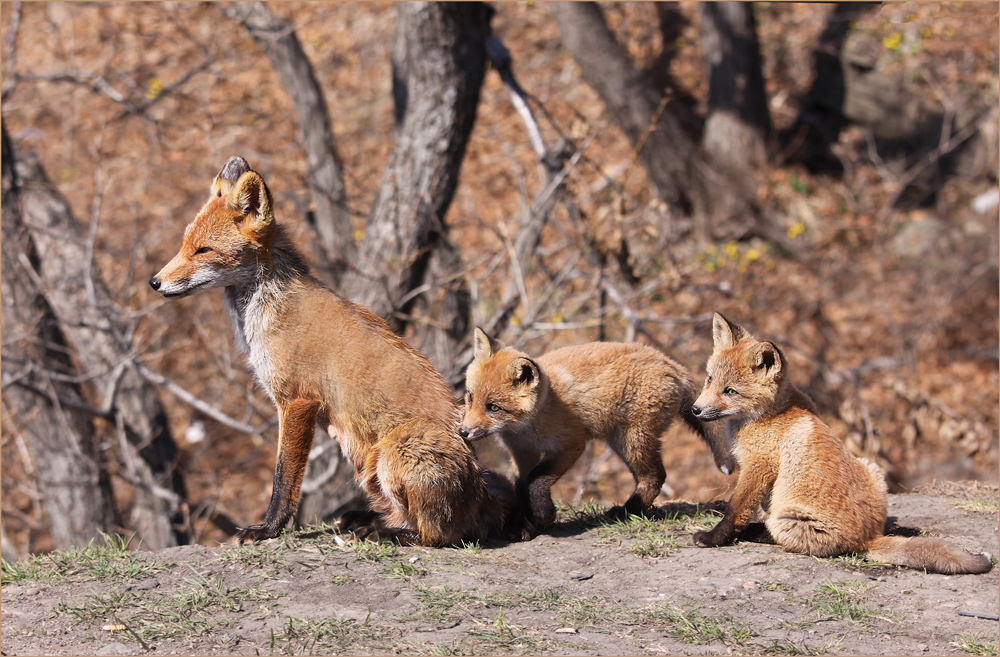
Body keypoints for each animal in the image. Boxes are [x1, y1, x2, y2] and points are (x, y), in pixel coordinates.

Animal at [151, 156, 512, 544]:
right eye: (184, 245)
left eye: (203, 250)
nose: (154, 282)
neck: (266, 310)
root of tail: (483, 496)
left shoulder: (297, 402)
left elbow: (284, 479)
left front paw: (268, 529)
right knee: (405, 517)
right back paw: (368, 522)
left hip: (396, 451)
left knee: (439, 534)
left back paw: (387, 534)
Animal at [458, 330, 732, 536]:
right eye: (470, 398)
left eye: (493, 407)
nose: (463, 432)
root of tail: (669, 361)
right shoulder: (521, 454)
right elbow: (521, 488)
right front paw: (523, 525)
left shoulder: (572, 445)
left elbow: (536, 480)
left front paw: (544, 515)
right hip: (621, 443)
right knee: (650, 477)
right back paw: (637, 510)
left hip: (632, 440)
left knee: (655, 476)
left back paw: (627, 512)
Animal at [696, 310, 992, 572]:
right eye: (709, 380)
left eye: (730, 391)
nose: (695, 410)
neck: (767, 415)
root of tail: (869, 537)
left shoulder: (759, 465)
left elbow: (736, 509)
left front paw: (714, 538)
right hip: (871, 467)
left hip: (788, 517)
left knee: (782, 534)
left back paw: (755, 533)